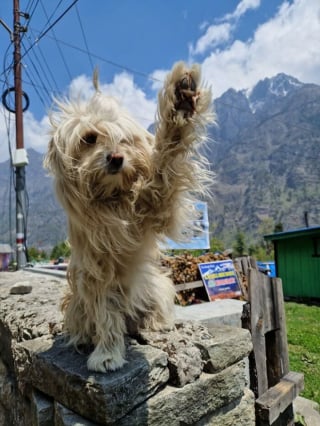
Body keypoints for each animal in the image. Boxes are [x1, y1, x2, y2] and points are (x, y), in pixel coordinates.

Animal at [43, 61, 214, 372]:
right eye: (89, 138)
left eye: (125, 140)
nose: (116, 157)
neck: (114, 199)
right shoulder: (96, 270)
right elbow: (105, 311)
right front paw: (107, 353)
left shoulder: (158, 202)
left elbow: (168, 160)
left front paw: (181, 104)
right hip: (76, 302)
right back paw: (84, 338)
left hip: (156, 285)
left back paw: (156, 322)